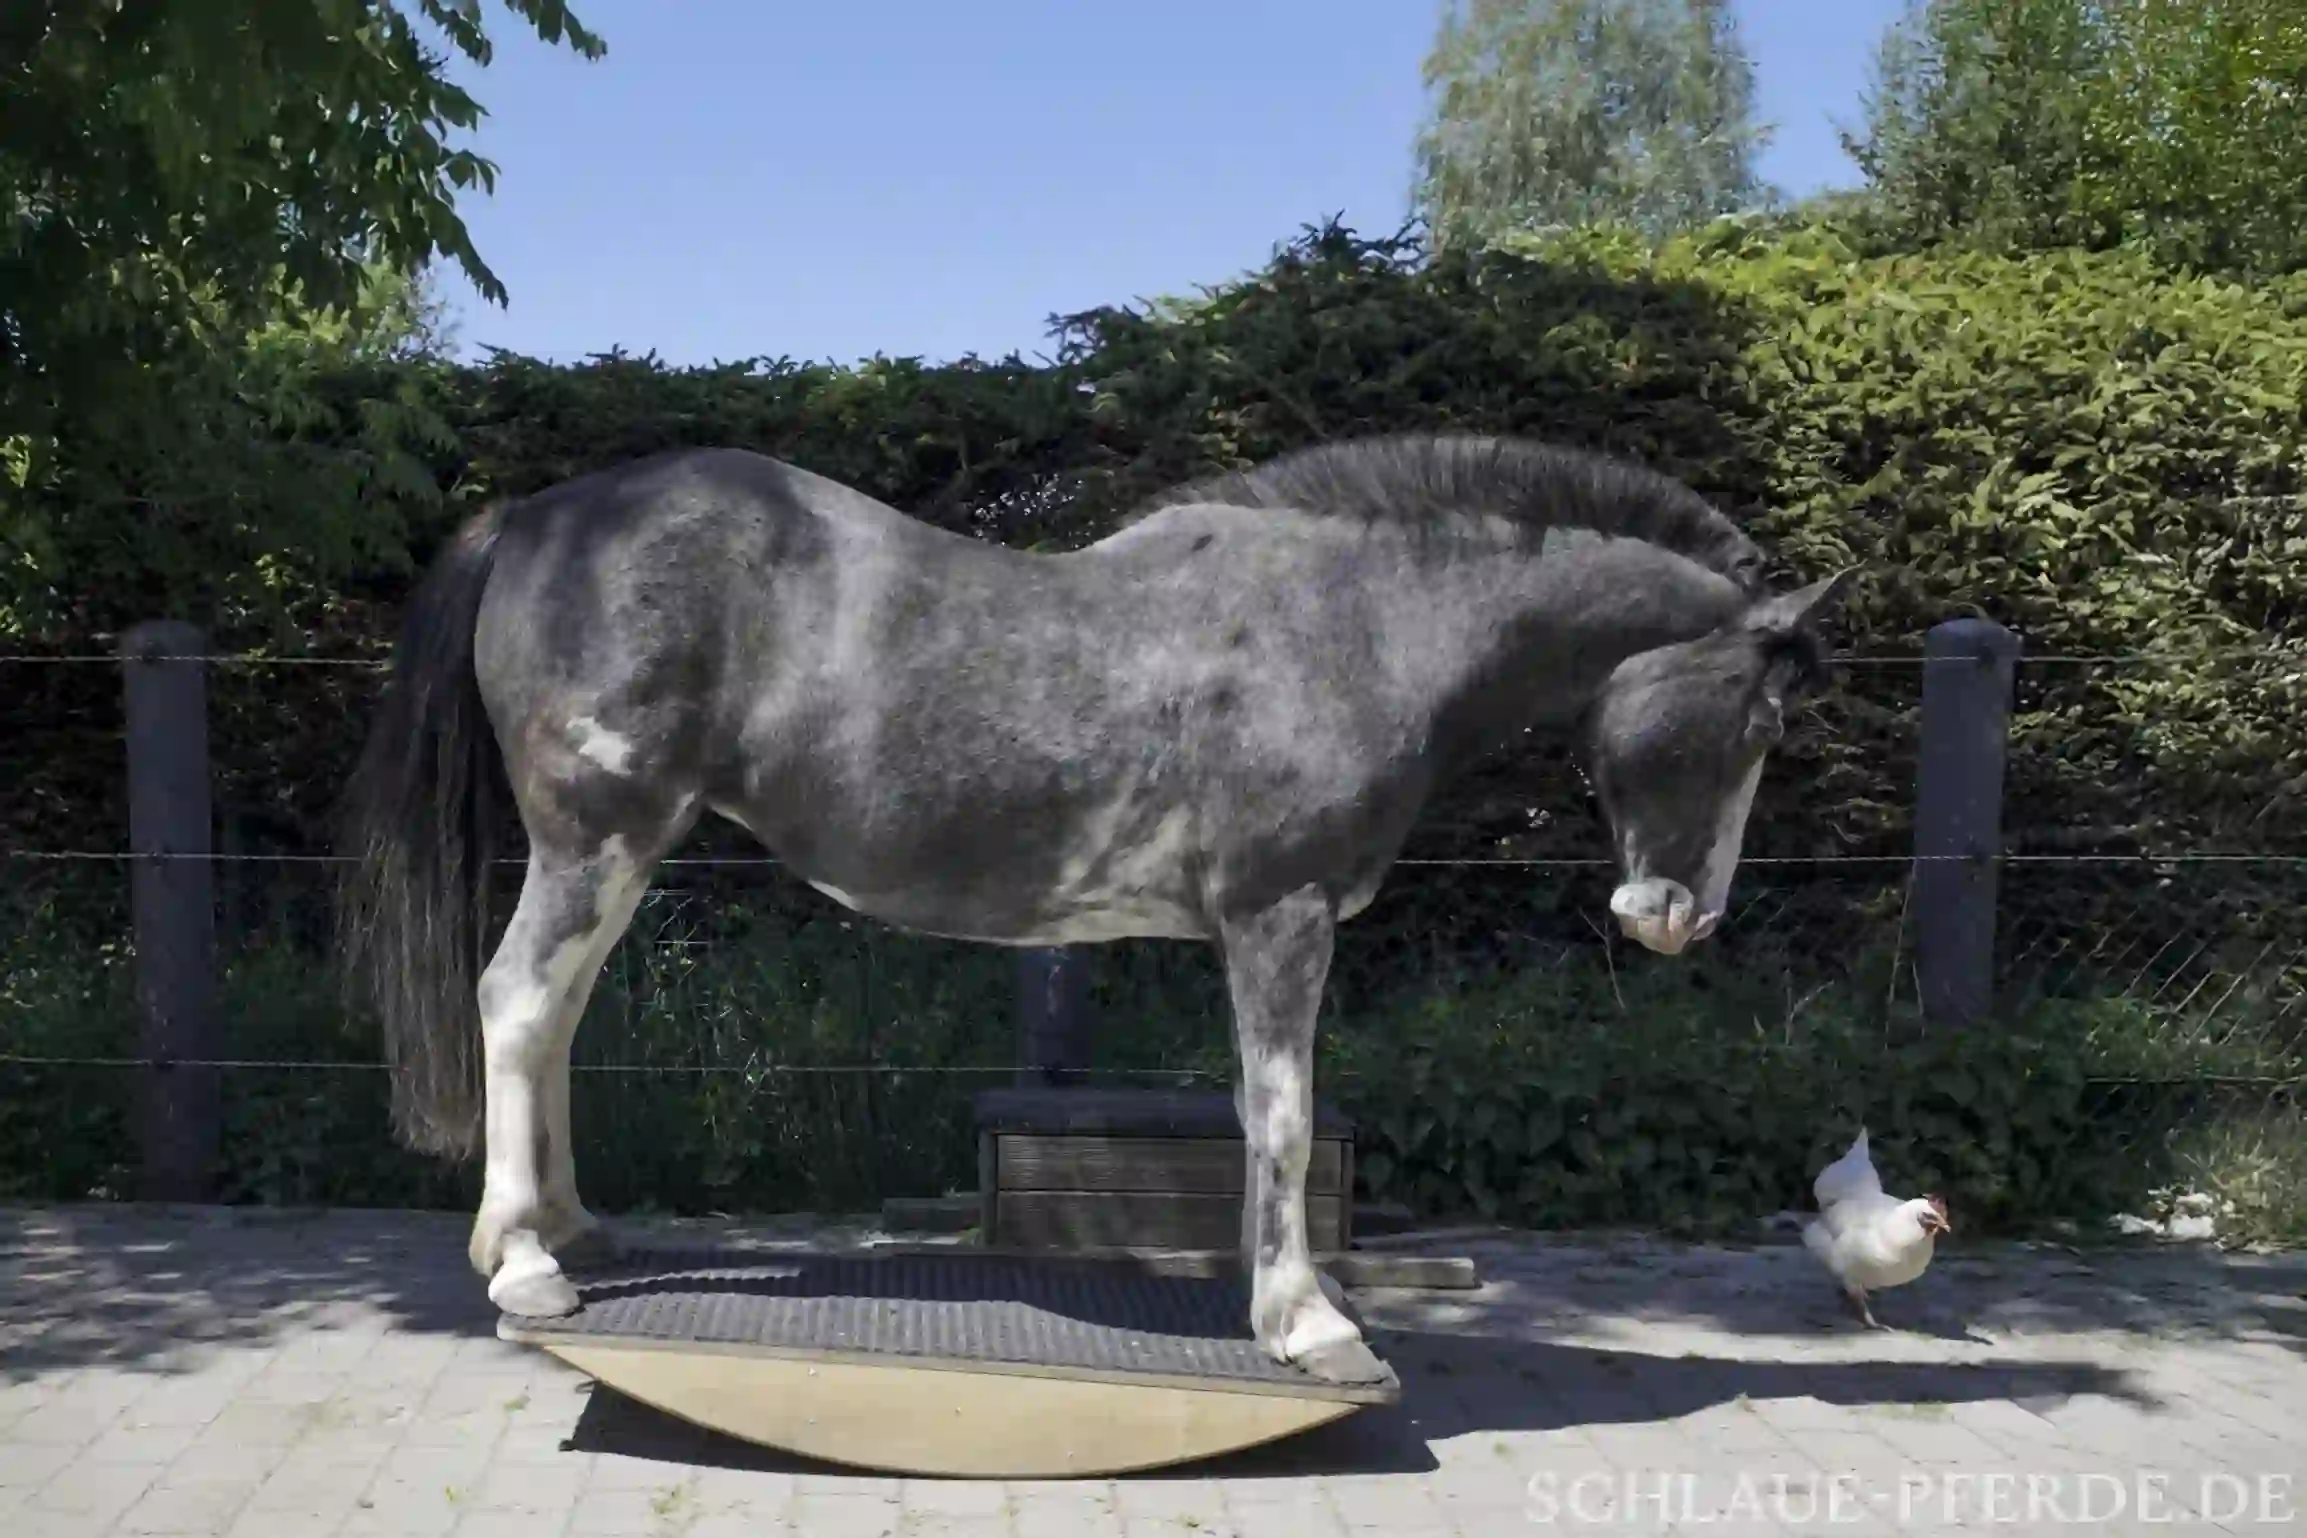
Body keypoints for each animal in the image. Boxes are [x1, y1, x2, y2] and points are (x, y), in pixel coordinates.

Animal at [337, 432, 1851, 1386]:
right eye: (1763, 720)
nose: (1678, 915)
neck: (1356, 621)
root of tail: (539, 518)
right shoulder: (1280, 915)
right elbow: (1280, 1115)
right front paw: (1306, 1321)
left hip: (621, 852)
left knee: (557, 1018)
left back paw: (575, 1227)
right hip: (596, 838)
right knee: (518, 1002)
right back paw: (525, 1263)